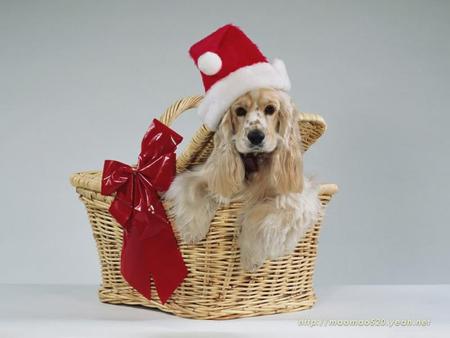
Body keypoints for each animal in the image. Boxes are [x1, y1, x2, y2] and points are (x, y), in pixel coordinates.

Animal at [165, 88, 320, 272]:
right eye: (239, 111)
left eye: (270, 109)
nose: (256, 136)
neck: (254, 162)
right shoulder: (204, 176)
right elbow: (193, 188)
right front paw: (192, 231)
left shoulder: (297, 199)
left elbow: (260, 214)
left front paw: (250, 256)